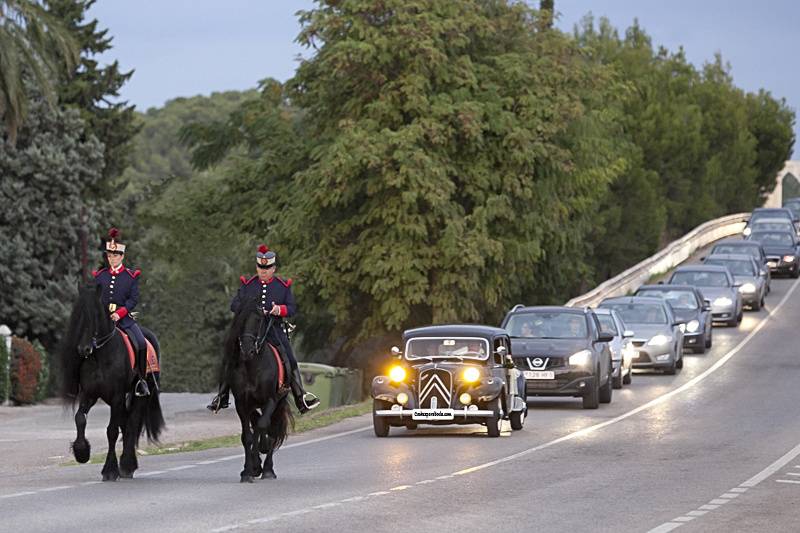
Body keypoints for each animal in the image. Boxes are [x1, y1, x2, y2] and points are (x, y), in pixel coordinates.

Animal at [58, 282, 165, 482]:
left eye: (95, 315)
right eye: (77, 315)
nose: (83, 349)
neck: (100, 356)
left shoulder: (116, 396)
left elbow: (112, 431)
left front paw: (109, 470)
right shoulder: (89, 395)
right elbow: (80, 419)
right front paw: (82, 452)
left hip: (140, 395)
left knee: (131, 423)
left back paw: (127, 466)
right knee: (126, 423)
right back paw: (127, 464)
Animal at [223, 298, 296, 480]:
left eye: (258, 321)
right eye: (241, 320)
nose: (247, 351)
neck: (253, 366)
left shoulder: (270, 400)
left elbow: (264, 427)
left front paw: (260, 462)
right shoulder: (242, 403)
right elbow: (247, 437)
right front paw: (248, 471)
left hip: (278, 403)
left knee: (271, 428)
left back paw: (268, 468)